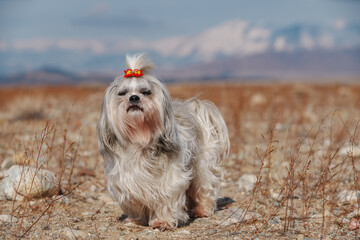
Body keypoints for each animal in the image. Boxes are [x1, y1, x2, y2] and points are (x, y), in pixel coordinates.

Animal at [97, 53, 229, 231]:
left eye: (146, 92)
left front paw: (163, 221)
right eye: (122, 93)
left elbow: (166, 199)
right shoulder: (126, 181)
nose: (134, 97)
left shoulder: (170, 179)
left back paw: (202, 210)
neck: (140, 137)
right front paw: (136, 219)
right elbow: (135, 200)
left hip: (201, 166)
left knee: (204, 187)